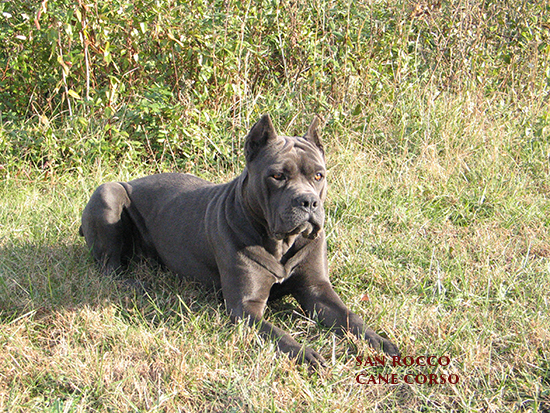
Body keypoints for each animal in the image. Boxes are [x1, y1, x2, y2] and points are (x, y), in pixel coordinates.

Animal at [80, 114, 402, 366]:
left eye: (319, 175)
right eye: (277, 176)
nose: (308, 201)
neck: (280, 242)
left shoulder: (317, 291)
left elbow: (352, 318)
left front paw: (382, 342)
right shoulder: (245, 306)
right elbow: (278, 334)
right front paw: (306, 354)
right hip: (108, 193)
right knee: (109, 266)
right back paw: (132, 283)